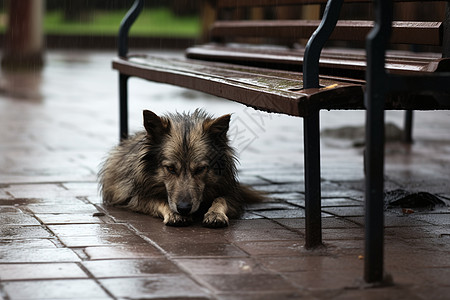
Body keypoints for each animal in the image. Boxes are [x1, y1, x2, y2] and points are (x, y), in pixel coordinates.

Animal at [96, 109, 262, 227]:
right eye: (170, 168)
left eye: (200, 169)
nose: (183, 208)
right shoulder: (135, 198)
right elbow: (158, 200)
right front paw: (173, 214)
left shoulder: (232, 195)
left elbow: (221, 199)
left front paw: (215, 214)